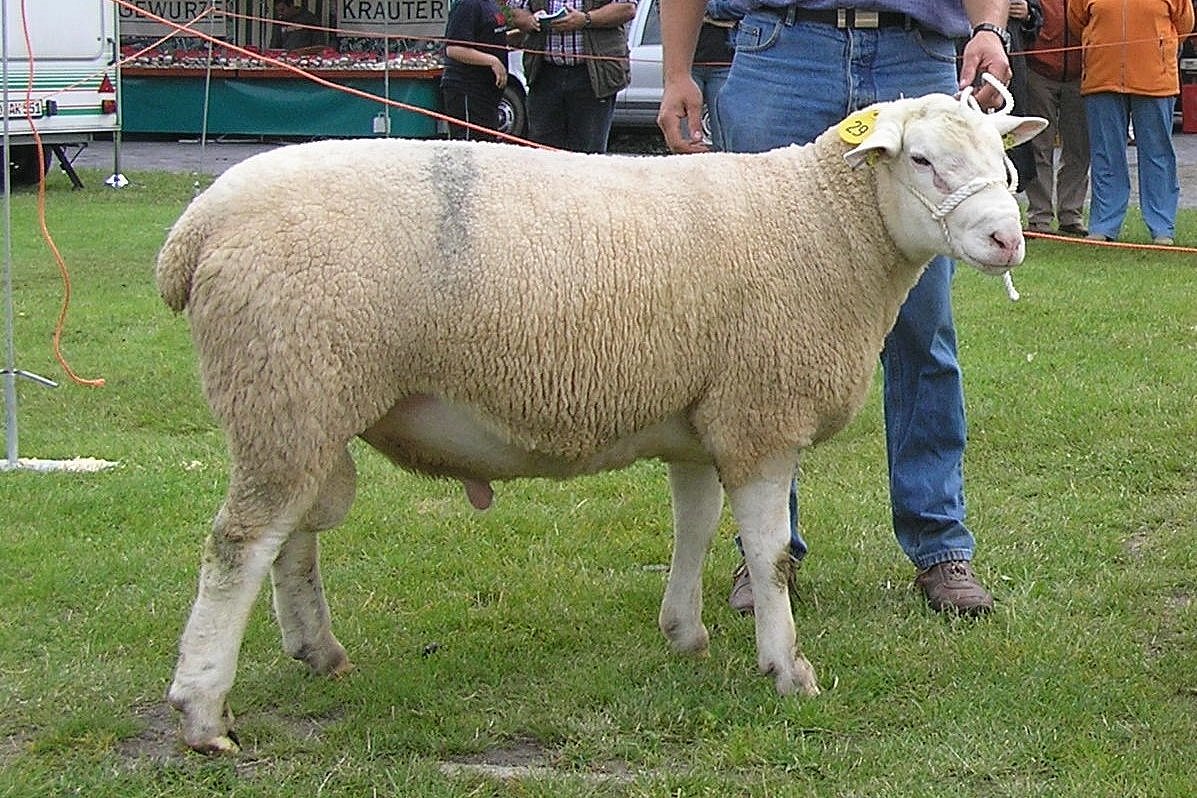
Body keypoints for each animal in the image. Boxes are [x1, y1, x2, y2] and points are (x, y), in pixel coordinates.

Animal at [156, 93, 1038, 756]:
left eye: (1002, 164)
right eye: (921, 160)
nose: (1007, 239)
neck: (823, 224)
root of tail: (195, 231)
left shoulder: (700, 419)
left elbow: (694, 528)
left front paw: (684, 633)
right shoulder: (759, 415)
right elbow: (769, 555)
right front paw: (787, 669)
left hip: (301, 404)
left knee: (292, 537)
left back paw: (317, 652)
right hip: (287, 382)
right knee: (238, 547)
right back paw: (202, 715)